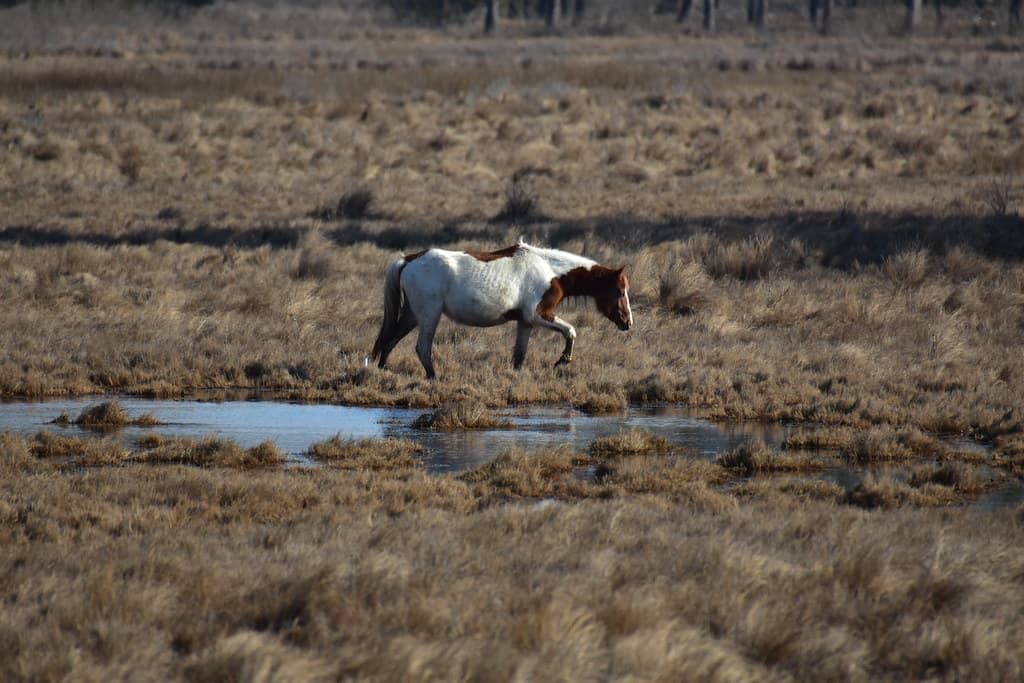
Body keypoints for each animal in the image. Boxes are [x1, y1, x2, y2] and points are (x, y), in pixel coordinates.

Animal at [370, 238, 633, 379]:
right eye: (620, 291)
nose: (628, 322)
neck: (550, 270)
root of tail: (410, 259)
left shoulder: (525, 322)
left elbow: (519, 355)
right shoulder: (538, 315)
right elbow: (571, 331)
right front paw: (563, 360)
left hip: (412, 316)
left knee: (390, 340)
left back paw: (382, 371)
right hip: (429, 316)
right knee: (422, 348)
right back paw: (434, 377)